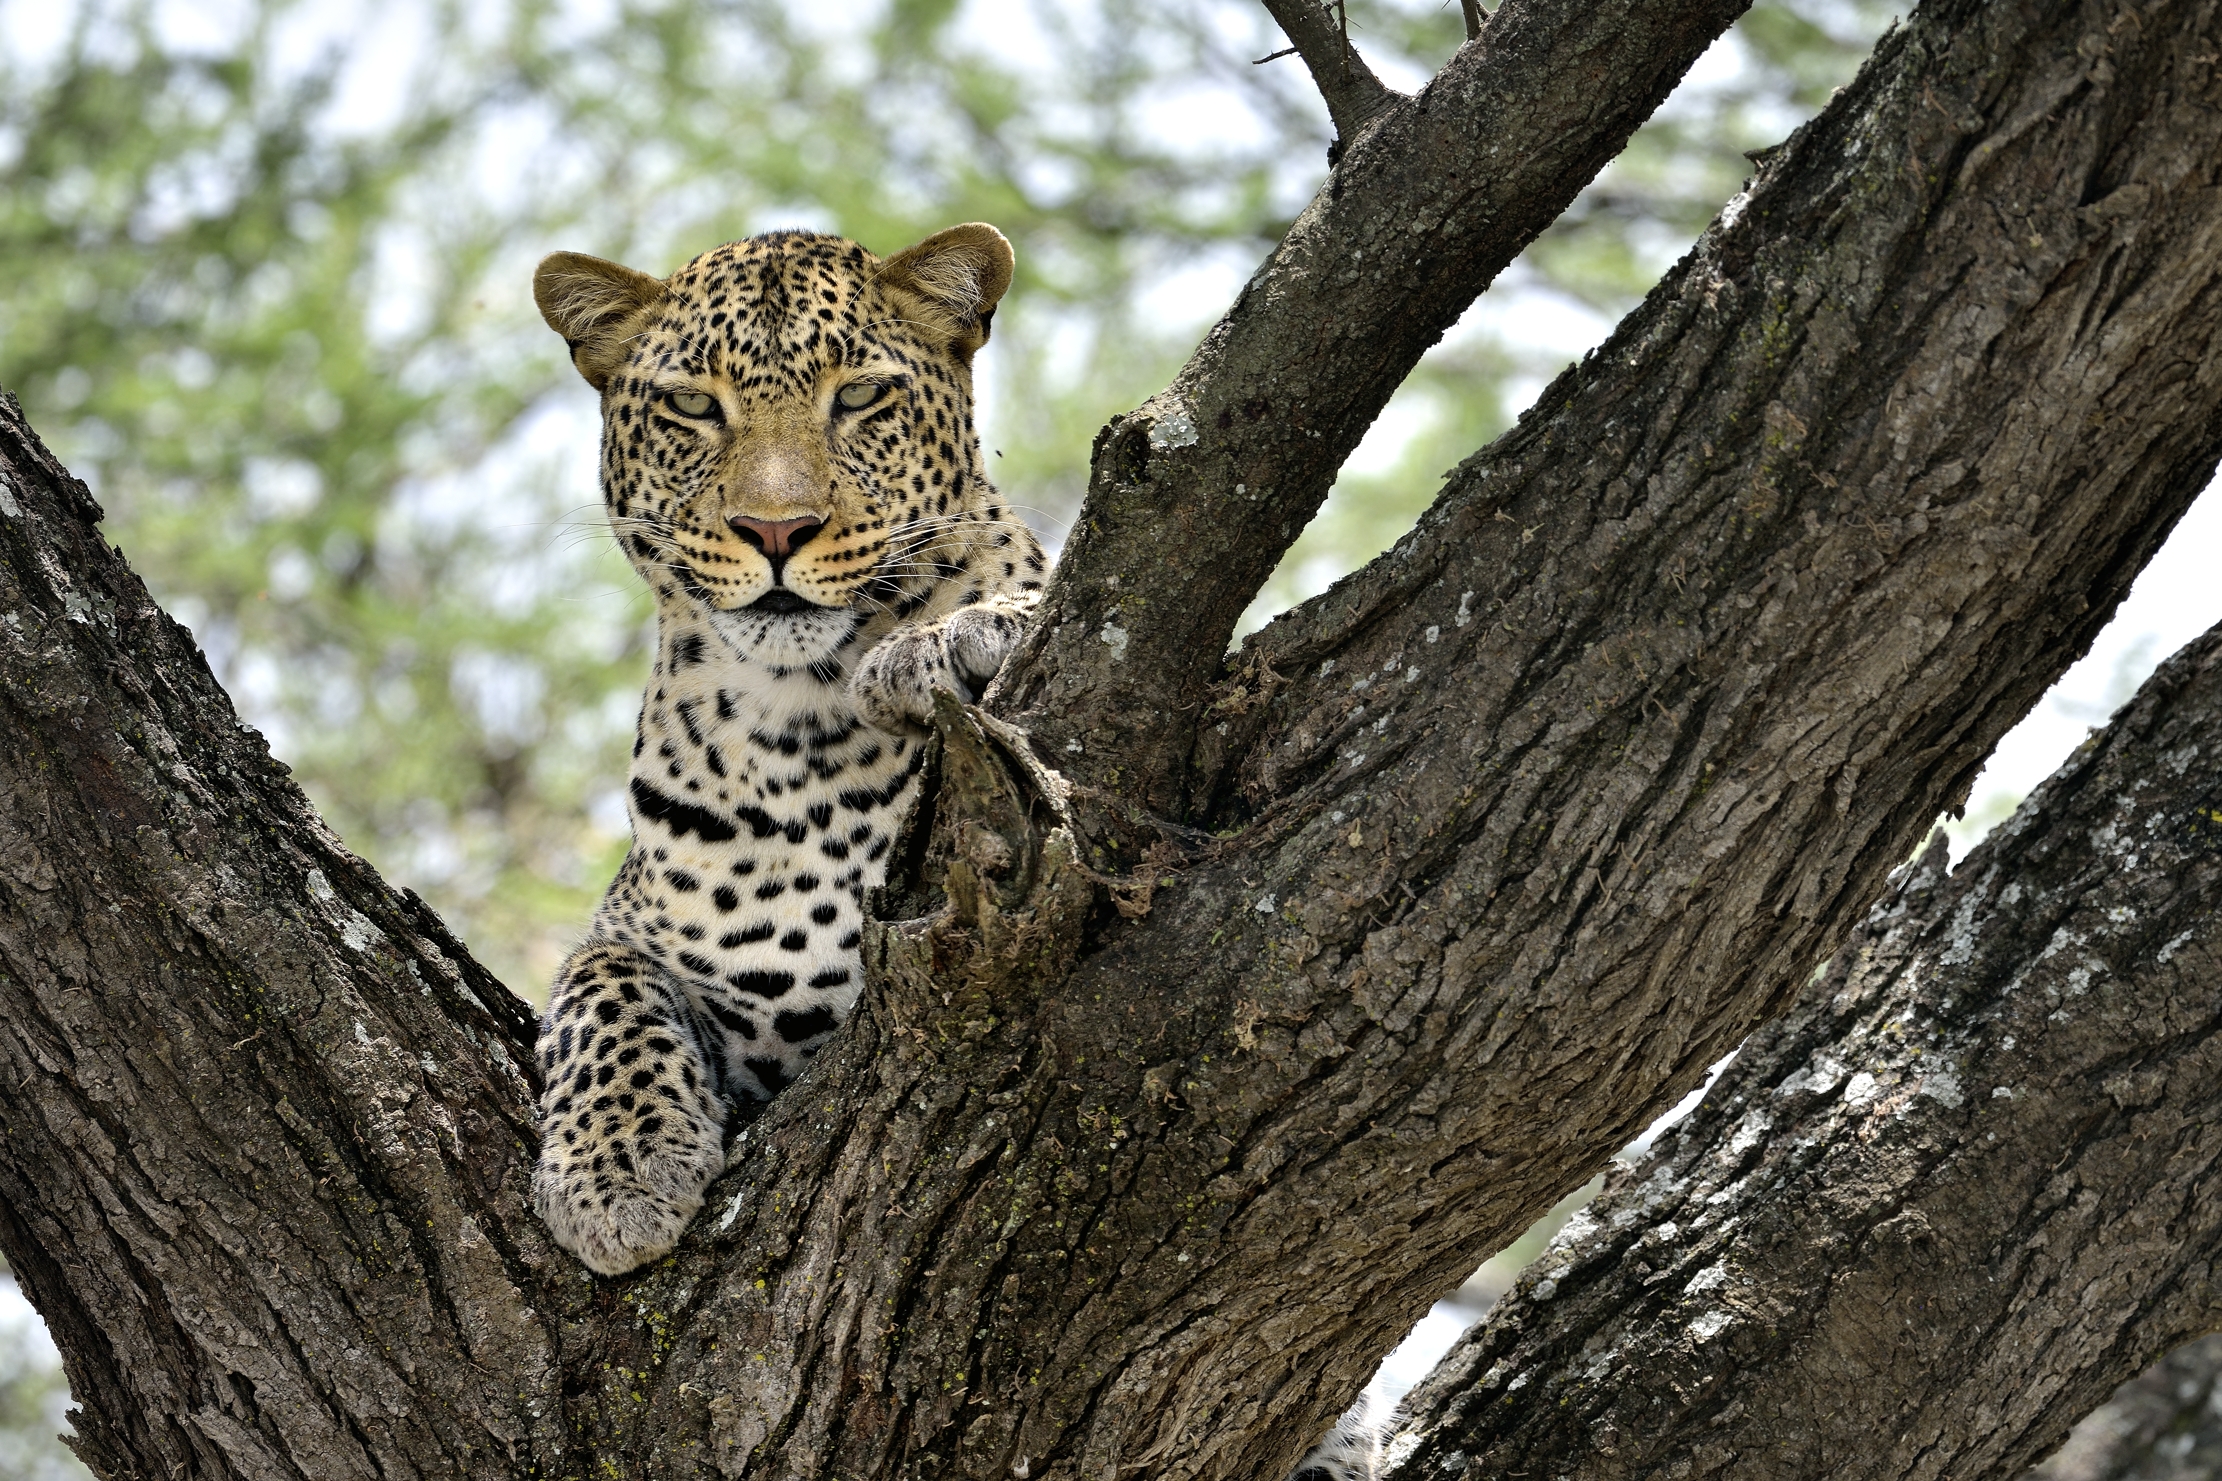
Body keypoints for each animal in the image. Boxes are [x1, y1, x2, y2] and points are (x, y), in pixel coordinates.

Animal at [527, 223, 1045, 1277]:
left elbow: (1036, 597)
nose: (776, 530)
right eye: (693, 405)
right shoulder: (643, 939)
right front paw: (616, 1172)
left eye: (860, 396)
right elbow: (599, 983)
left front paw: (940, 643)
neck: (798, 730)